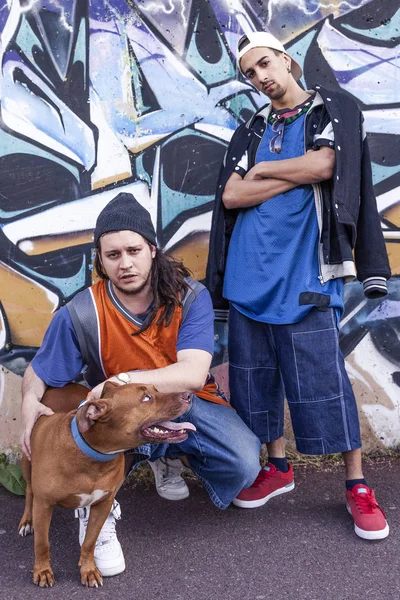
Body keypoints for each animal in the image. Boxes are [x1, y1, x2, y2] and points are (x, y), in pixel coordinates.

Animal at [18, 384, 195, 584]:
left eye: (156, 389)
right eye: (146, 398)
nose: (188, 395)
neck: (93, 456)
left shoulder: (103, 504)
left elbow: (90, 541)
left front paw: (88, 569)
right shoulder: (43, 505)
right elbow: (42, 543)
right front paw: (42, 571)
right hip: (27, 461)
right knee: (29, 491)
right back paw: (27, 521)